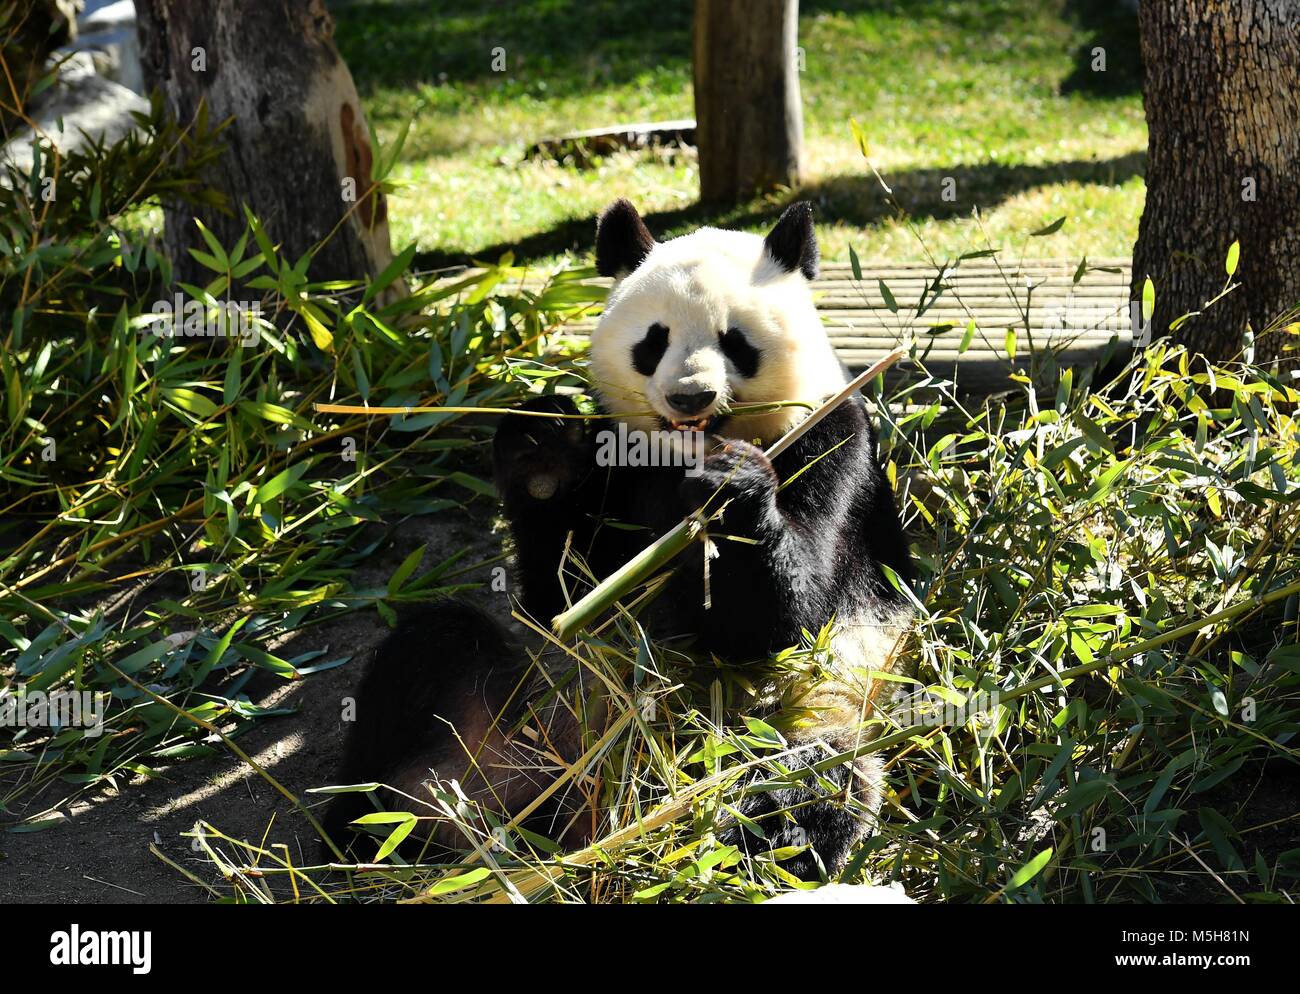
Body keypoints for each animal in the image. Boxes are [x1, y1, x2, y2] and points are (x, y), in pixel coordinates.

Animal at [322, 200, 914, 881]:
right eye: (653, 341)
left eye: (735, 342)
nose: (690, 396)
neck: (681, 455)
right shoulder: (618, 468)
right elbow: (560, 595)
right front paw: (543, 450)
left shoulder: (832, 437)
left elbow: (790, 618)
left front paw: (731, 487)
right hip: (524, 704)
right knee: (433, 650)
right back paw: (374, 831)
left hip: (804, 711)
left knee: (807, 782)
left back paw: (733, 843)